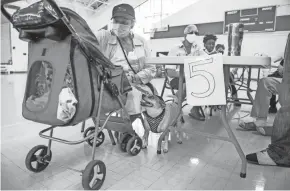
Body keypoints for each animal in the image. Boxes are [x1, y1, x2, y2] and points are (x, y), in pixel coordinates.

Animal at [1, 0, 143, 190]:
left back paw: (133, 141)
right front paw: (42, 157)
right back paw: (96, 136)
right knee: (100, 126)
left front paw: (94, 173)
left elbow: (93, 167)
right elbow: (49, 138)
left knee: (126, 125)